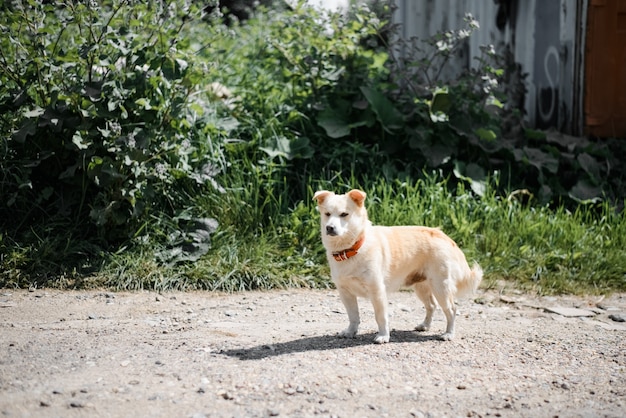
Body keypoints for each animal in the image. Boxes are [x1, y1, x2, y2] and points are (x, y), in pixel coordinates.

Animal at [312, 189, 482, 342]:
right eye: (327, 214)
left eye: (344, 214)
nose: (329, 227)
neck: (351, 249)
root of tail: (444, 236)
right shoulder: (345, 293)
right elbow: (353, 316)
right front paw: (350, 332)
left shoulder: (377, 292)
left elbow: (380, 316)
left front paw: (383, 336)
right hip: (421, 287)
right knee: (431, 306)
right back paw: (425, 326)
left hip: (441, 288)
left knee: (451, 310)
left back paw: (448, 334)